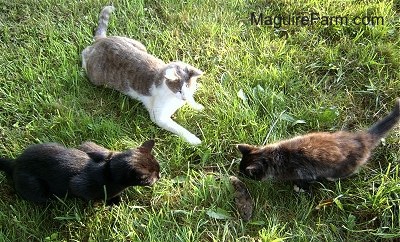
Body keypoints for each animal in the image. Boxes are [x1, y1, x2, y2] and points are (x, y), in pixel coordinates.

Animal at [0, 140, 159, 204]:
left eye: (158, 169)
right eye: (149, 179)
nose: (159, 175)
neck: (108, 169)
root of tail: (16, 163)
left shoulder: (88, 145)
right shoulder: (78, 185)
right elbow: (89, 196)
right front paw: (110, 202)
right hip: (35, 186)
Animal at [82, 6, 205, 146]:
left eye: (188, 87)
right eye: (178, 89)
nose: (184, 98)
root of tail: (102, 40)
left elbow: (192, 101)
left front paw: (197, 106)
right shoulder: (159, 116)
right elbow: (179, 128)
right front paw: (194, 140)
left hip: (139, 44)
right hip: (96, 76)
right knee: (85, 52)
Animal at [238, 99, 400, 192]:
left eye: (245, 174)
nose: (239, 176)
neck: (274, 156)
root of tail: (361, 139)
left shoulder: (303, 172)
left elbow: (304, 181)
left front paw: (299, 188)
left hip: (345, 166)